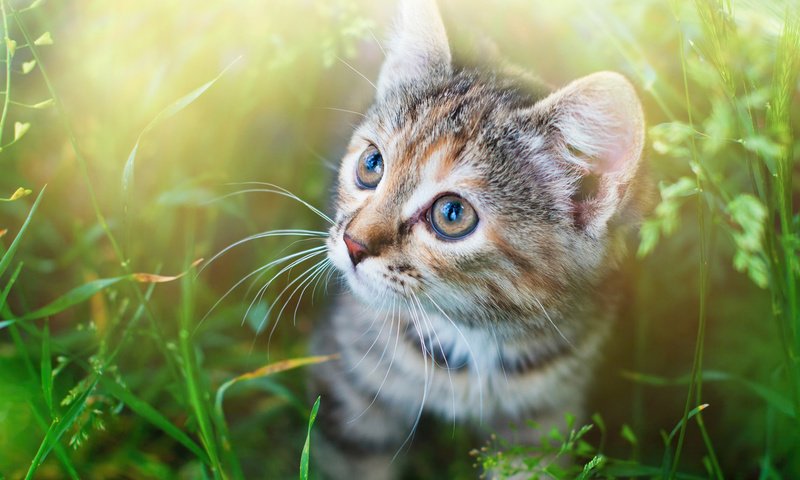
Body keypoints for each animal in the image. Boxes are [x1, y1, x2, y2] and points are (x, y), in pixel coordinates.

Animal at [308, 1, 648, 478]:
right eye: (371, 165)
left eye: (452, 214)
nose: (353, 244)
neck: (473, 339)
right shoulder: (351, 389)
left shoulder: (542, 424)